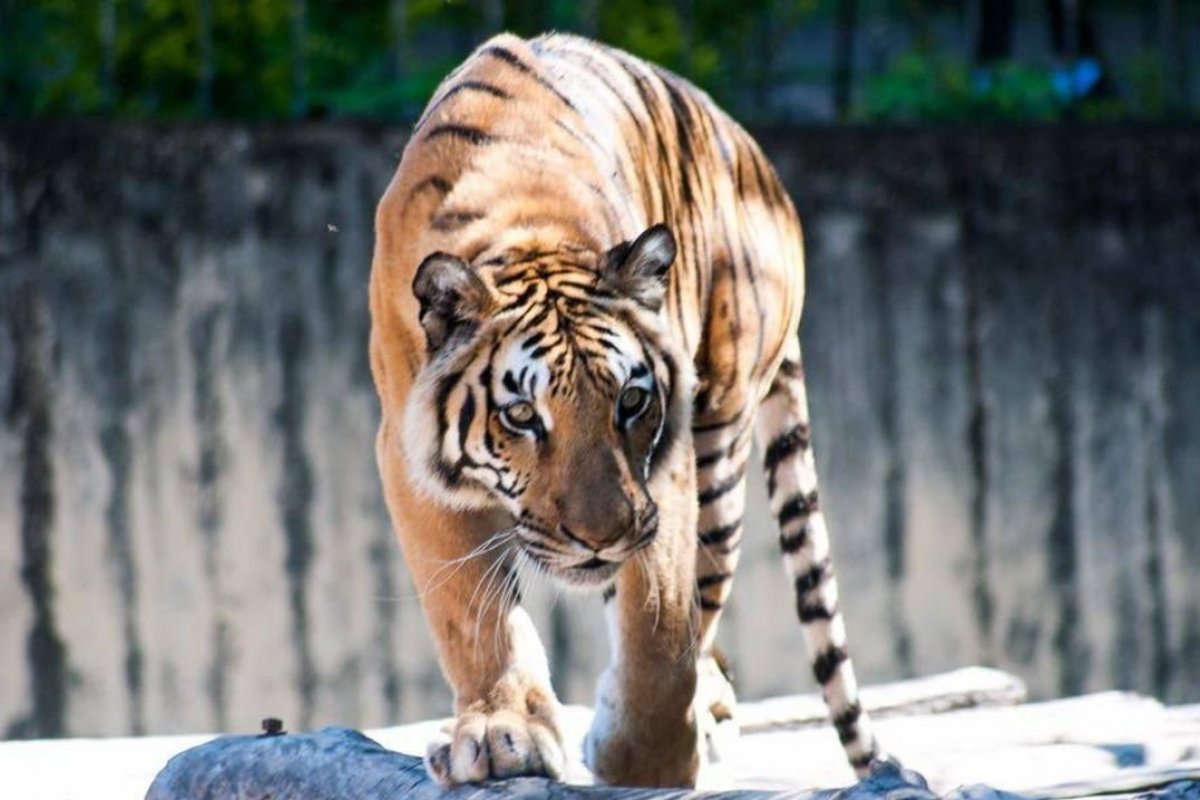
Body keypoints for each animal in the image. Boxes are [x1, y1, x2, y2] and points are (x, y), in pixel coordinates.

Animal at [368, 32, 882, 787]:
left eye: (631, 401)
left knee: (704, 603)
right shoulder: (412, 459)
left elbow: (660, 625)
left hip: (721, 442)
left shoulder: (664, 472)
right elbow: (470, 610)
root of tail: (765, 171)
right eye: (522, 417)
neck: (523, 229)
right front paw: (501, 734)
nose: (600, 538)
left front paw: (646, 761)